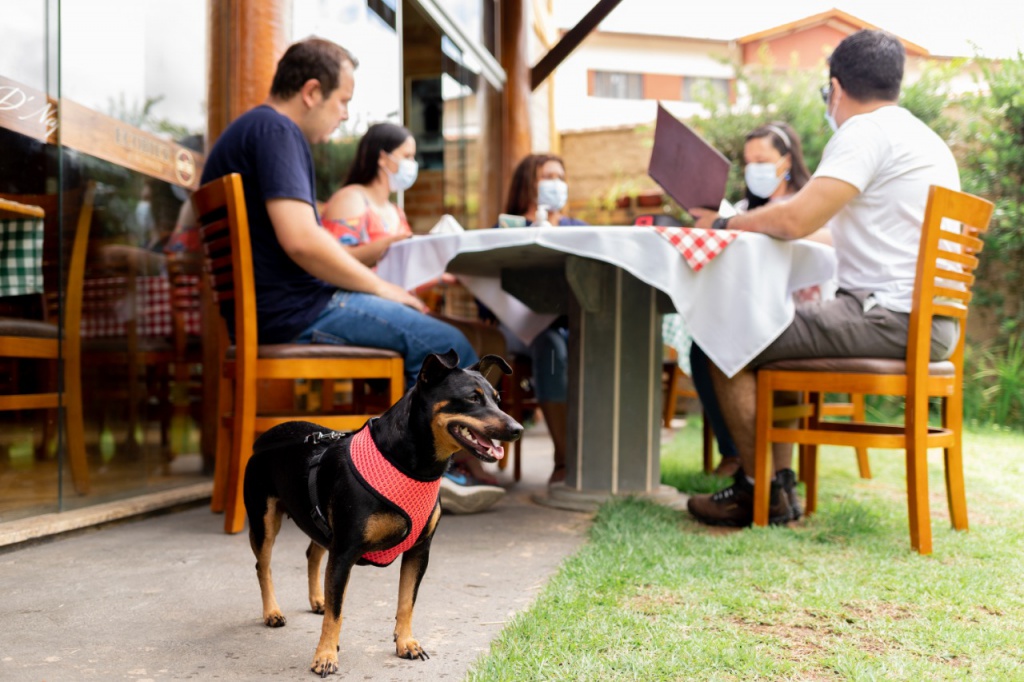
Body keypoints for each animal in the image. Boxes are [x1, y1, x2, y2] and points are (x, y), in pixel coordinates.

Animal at [243, 350, 524, 675]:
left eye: (497, 399)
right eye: (472, 398)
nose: (518, 429)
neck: (412, 466)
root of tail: (264, 438)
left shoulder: (418, 550)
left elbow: (406, 601)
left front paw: (406, 643)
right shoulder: (344, 551)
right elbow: (337, 612)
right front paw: (325, 656)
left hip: (319, 522)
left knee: (312, 554)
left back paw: (317, 599)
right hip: (264, 520)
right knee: (263, 565)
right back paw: (272, 612)